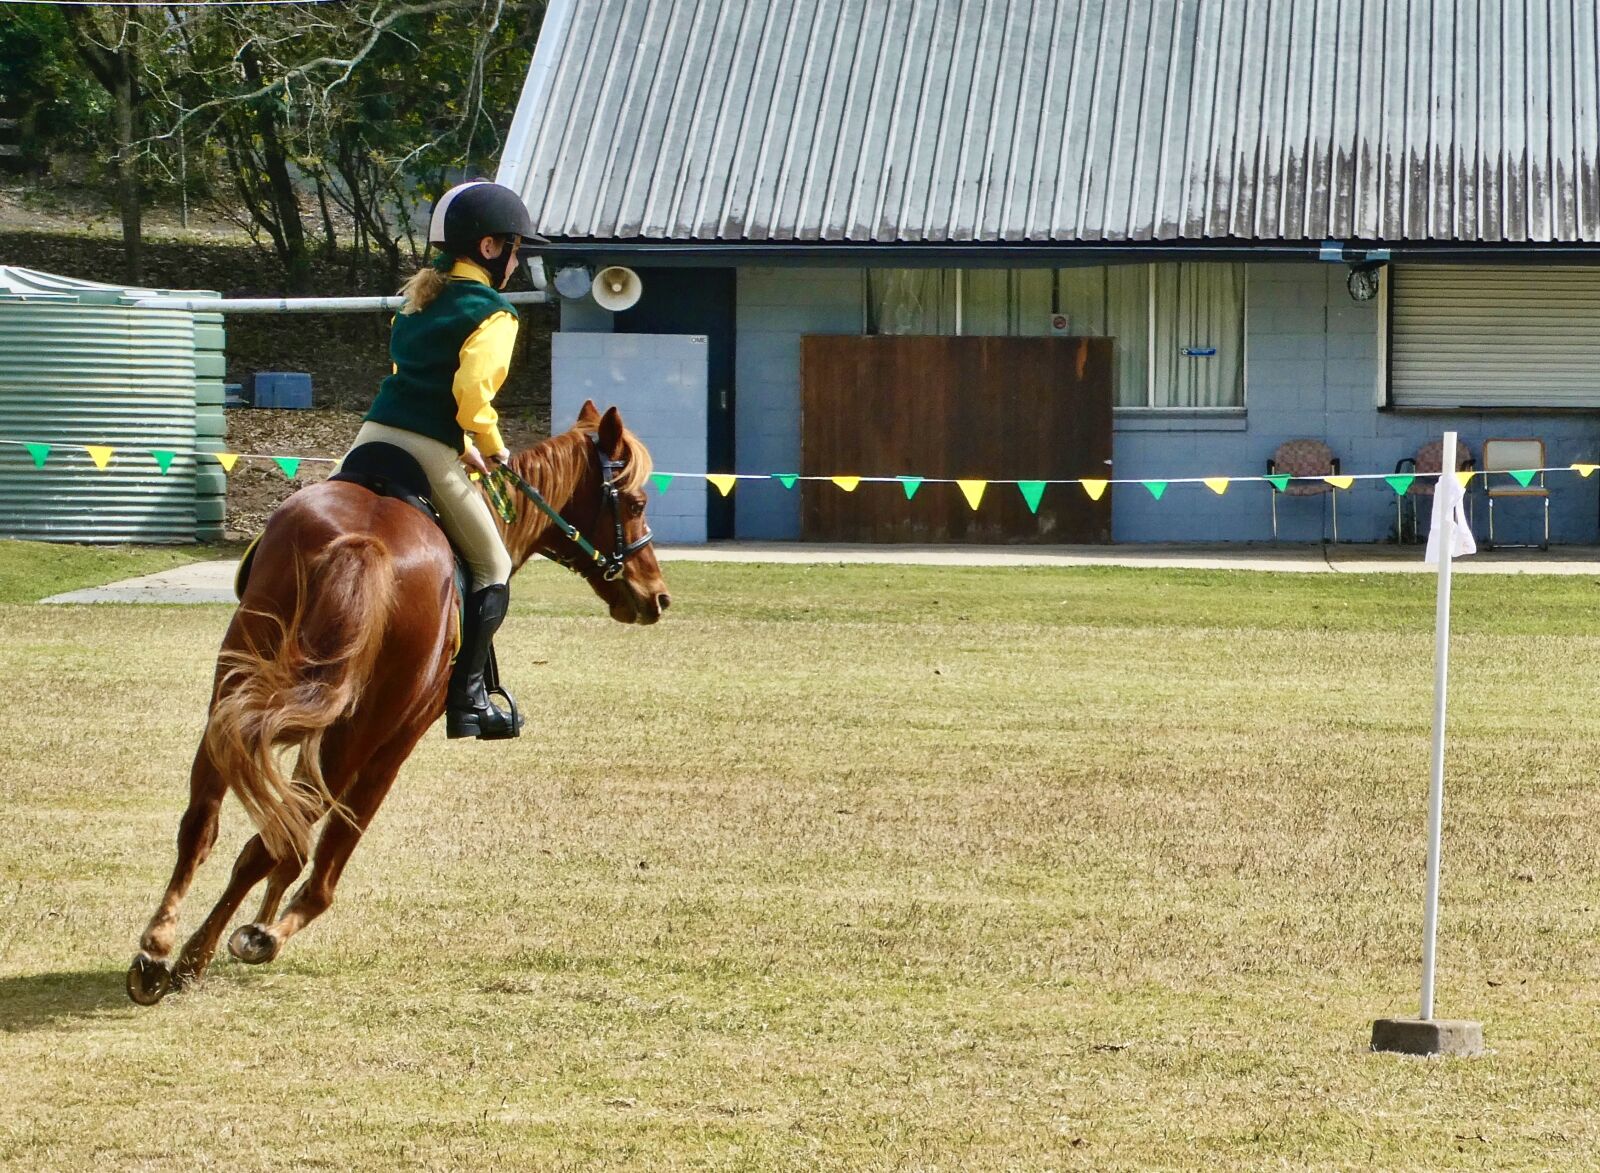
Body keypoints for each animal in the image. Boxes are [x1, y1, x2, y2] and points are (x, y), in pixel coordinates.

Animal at [126, 400, 669, 1004]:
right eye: (636, 502)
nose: (657, 596)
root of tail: (366, 542)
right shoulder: (398, 738)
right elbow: (324, 854)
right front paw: (263, 933)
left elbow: (289, 838)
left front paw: (259, 924)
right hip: (365, 727)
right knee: (273, 841)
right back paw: (193, 958)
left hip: (235, 688)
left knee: (204, 822)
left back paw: (157, 950)